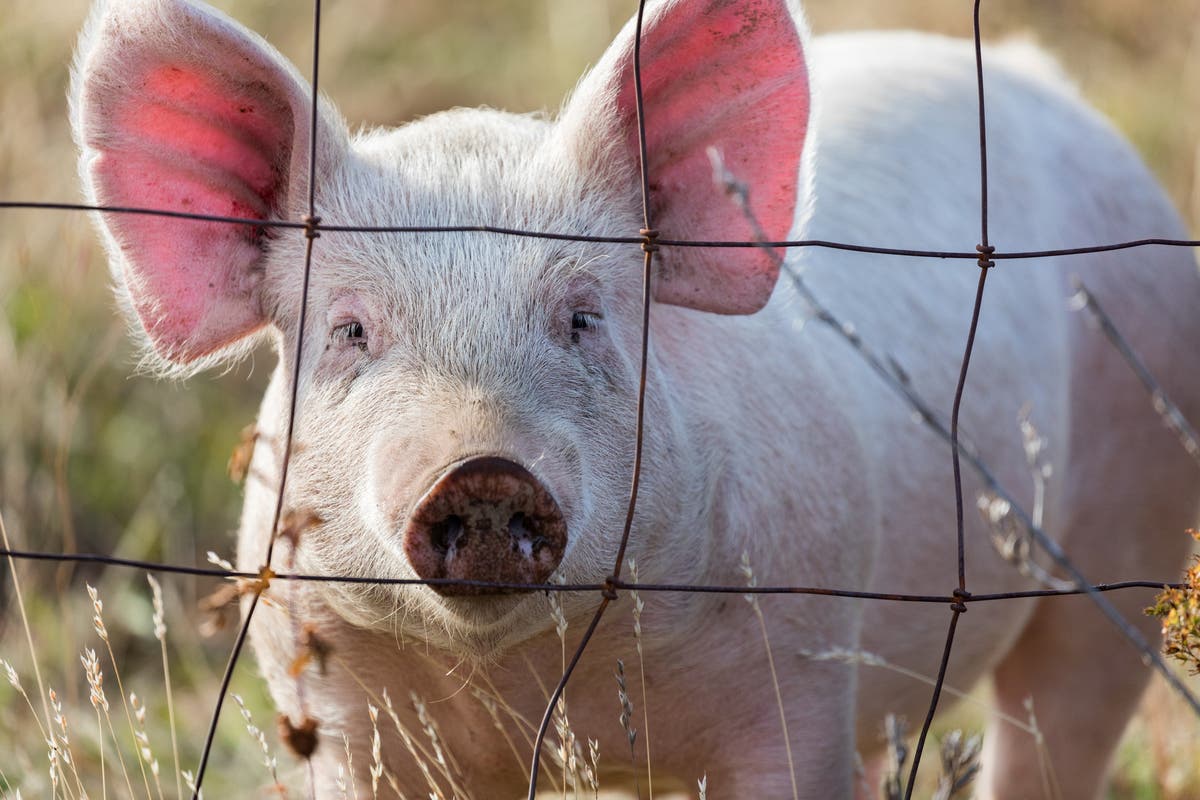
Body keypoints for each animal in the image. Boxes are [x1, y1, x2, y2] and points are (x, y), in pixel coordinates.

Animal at [70, 0, 1200, 796]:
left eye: (582, 317)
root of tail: (1033, 76)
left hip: (1129, 532)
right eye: (350, 330)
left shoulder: (798, 678)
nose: (483, 471)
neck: (531, 689)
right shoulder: (337, 716)